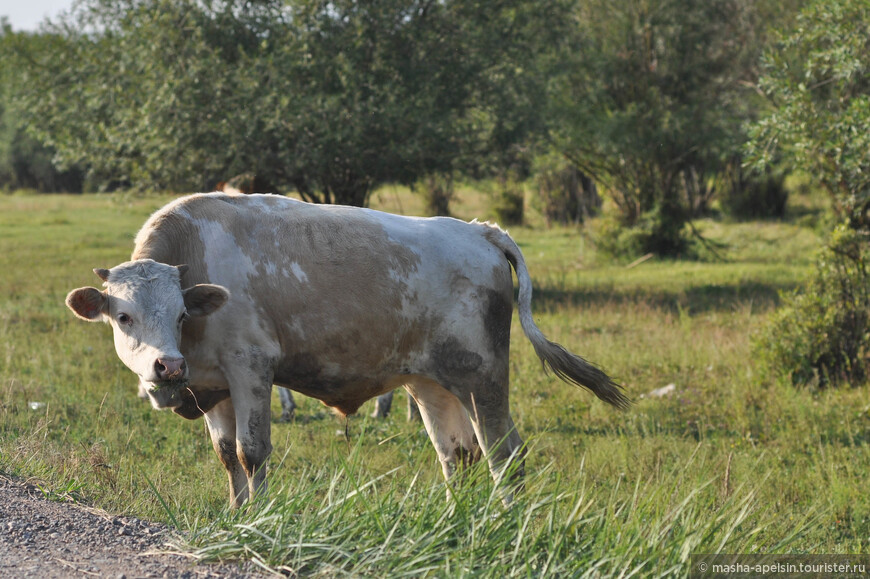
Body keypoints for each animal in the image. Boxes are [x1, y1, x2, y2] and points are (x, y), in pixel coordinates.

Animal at [66, 194, 628, 508]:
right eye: (123, 317)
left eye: (181, 314)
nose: (168, 365)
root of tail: (478, 230)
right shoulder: (212, 384)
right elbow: (227, 457)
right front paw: (234, 515)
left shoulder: (251, 370)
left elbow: (252, 452)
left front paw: (258, 521)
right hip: (432, 385)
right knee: (457, 455)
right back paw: (460, 526)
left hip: (483, 380)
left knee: (504, 455)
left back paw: (505, 525)